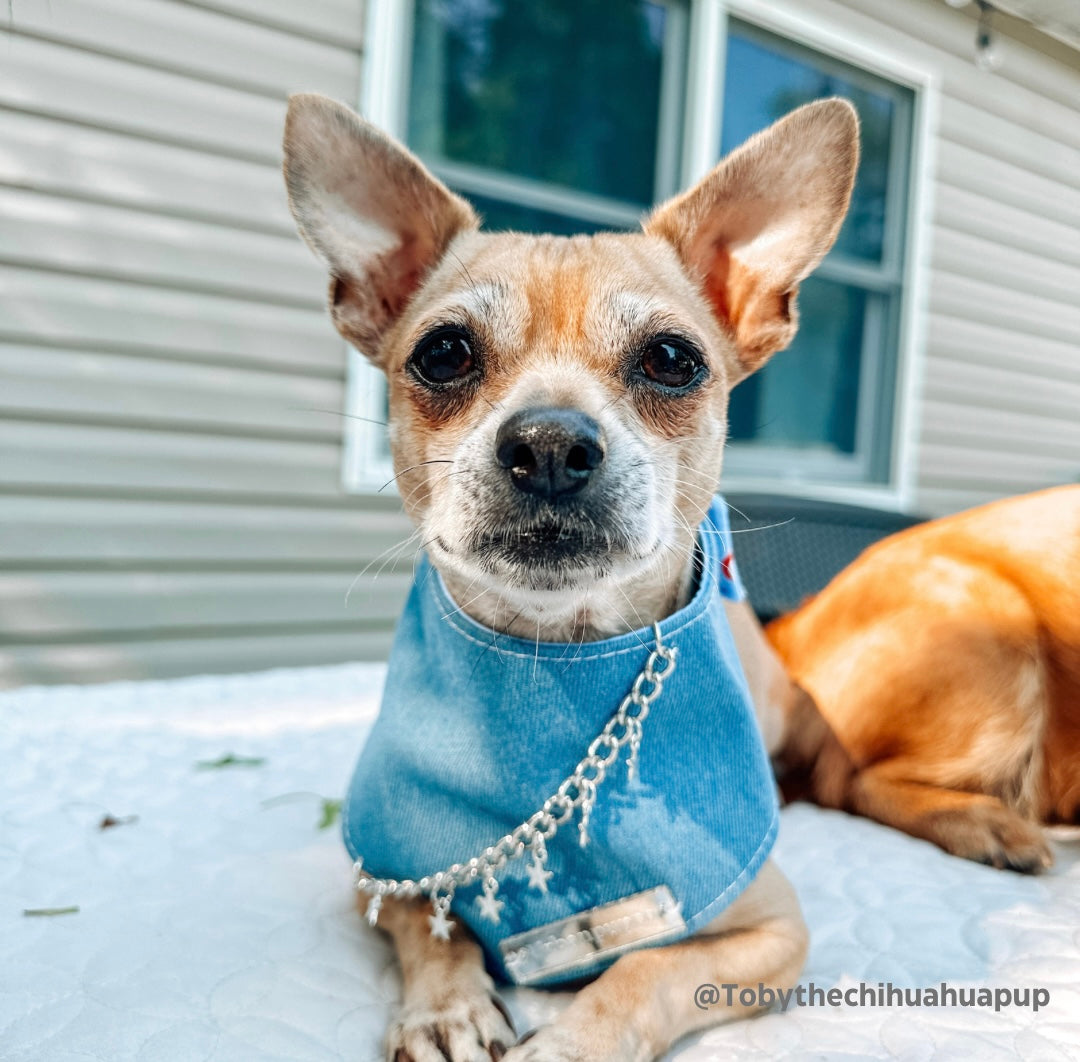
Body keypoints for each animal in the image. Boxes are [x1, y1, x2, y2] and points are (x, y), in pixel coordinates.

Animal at [282, 93, 855, 1062]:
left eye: (672, 360)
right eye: (443, 354)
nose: (549, 442)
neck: (556, 658)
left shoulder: (771, 935)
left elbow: (646, 970)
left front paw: (574, 1042)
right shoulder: (380, 880)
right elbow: (432, 926)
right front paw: (447, 1006)